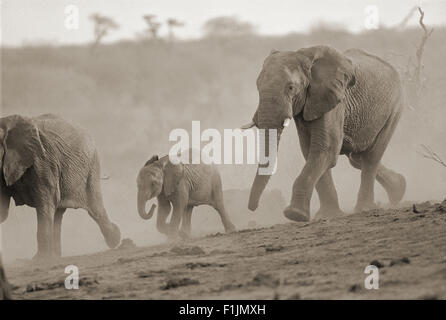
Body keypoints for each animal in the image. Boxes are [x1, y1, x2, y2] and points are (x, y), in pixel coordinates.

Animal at [0, 114, 121, 260]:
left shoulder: (42, 162)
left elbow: (45, 203)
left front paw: (40, 260)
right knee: (58, 213)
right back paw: (55, 257)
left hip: (92, 165)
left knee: (95, 207)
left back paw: (116, 239)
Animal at [244, 45, 408, 222]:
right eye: (258, 86)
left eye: (290, 87)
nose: (252, 208)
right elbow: (310, 150)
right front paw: (327, 215)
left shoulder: (334, 99)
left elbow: (325, 148)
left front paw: (295, 215)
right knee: (357, 158)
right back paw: (399, 189)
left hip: (395, 108)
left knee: (371, 157)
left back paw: (366, 208)